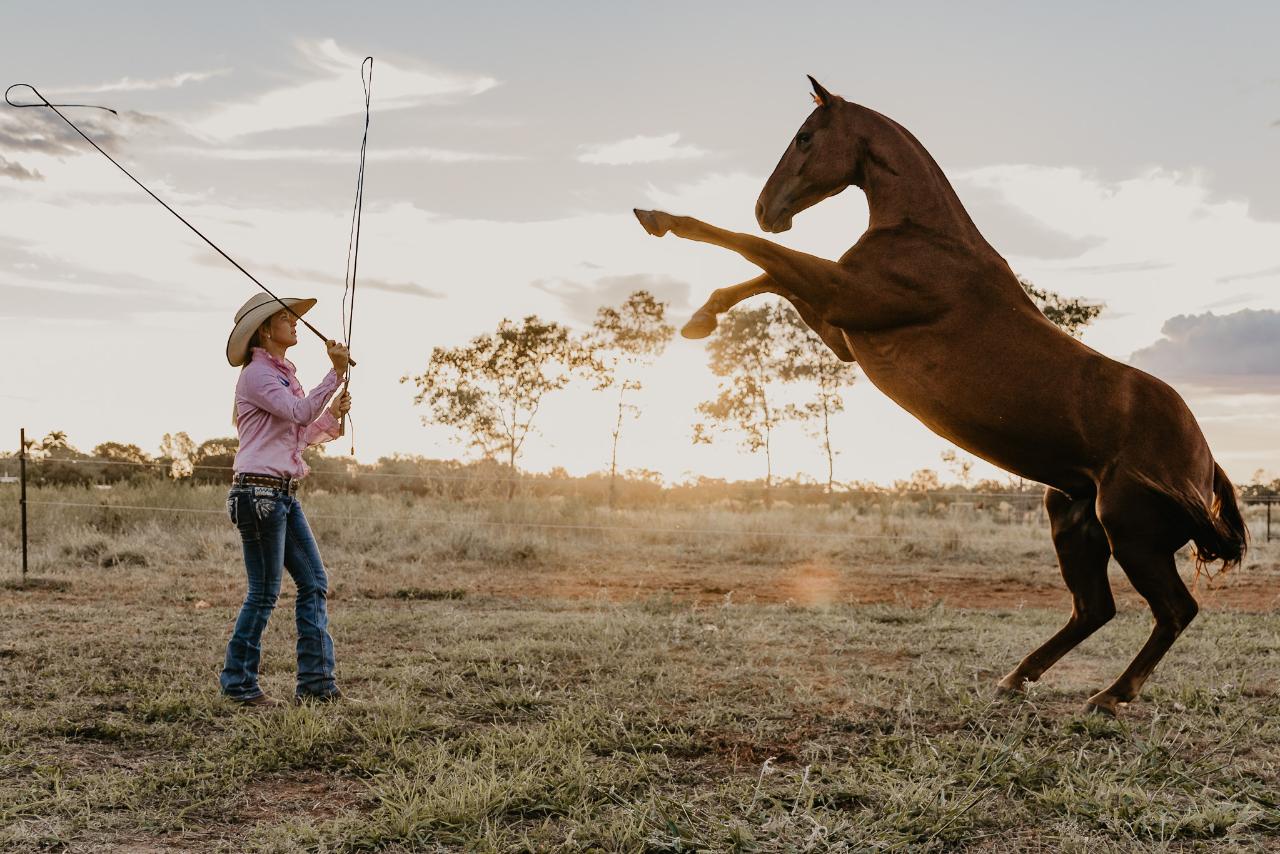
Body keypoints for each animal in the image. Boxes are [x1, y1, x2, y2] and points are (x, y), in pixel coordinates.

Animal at [634, 76, 1244, 717]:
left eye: (804, 137)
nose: (766, 209)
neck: (928, 239)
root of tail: (1204, 462)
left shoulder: (844, 298)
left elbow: (755, 252)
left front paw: (660, 219)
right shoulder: (840, 330)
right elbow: (768, 275)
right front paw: (702, 318)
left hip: (1129, 529)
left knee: (1174, 610)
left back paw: (1108, 696)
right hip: (1073, 516)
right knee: (1094, 608)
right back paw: (1015, 678)